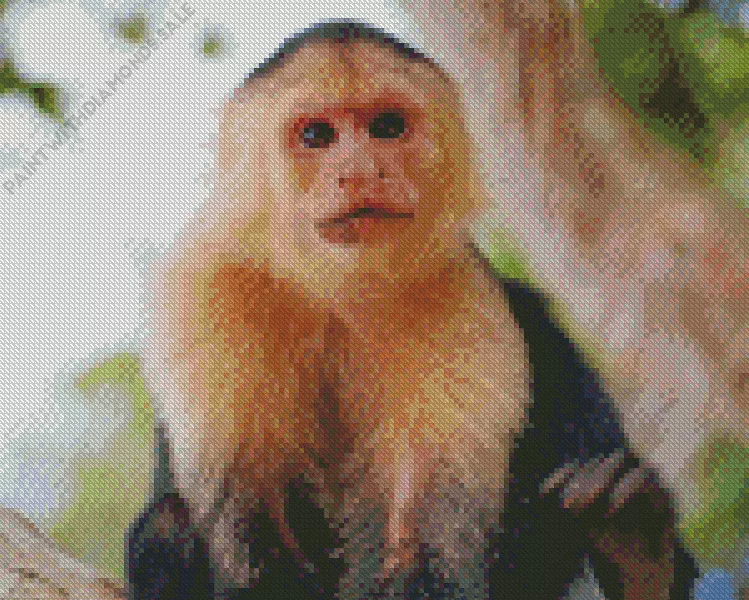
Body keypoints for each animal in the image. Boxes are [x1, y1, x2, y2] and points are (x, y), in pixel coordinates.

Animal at [128, 21, 699, 600]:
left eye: (387, 127)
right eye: (316, 136)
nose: (359, 172)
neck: (336, 286)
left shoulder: (454, 287)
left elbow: (421, 540)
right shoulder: (205, 285)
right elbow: (259, 533)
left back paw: (636, 550)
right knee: (169, 523)